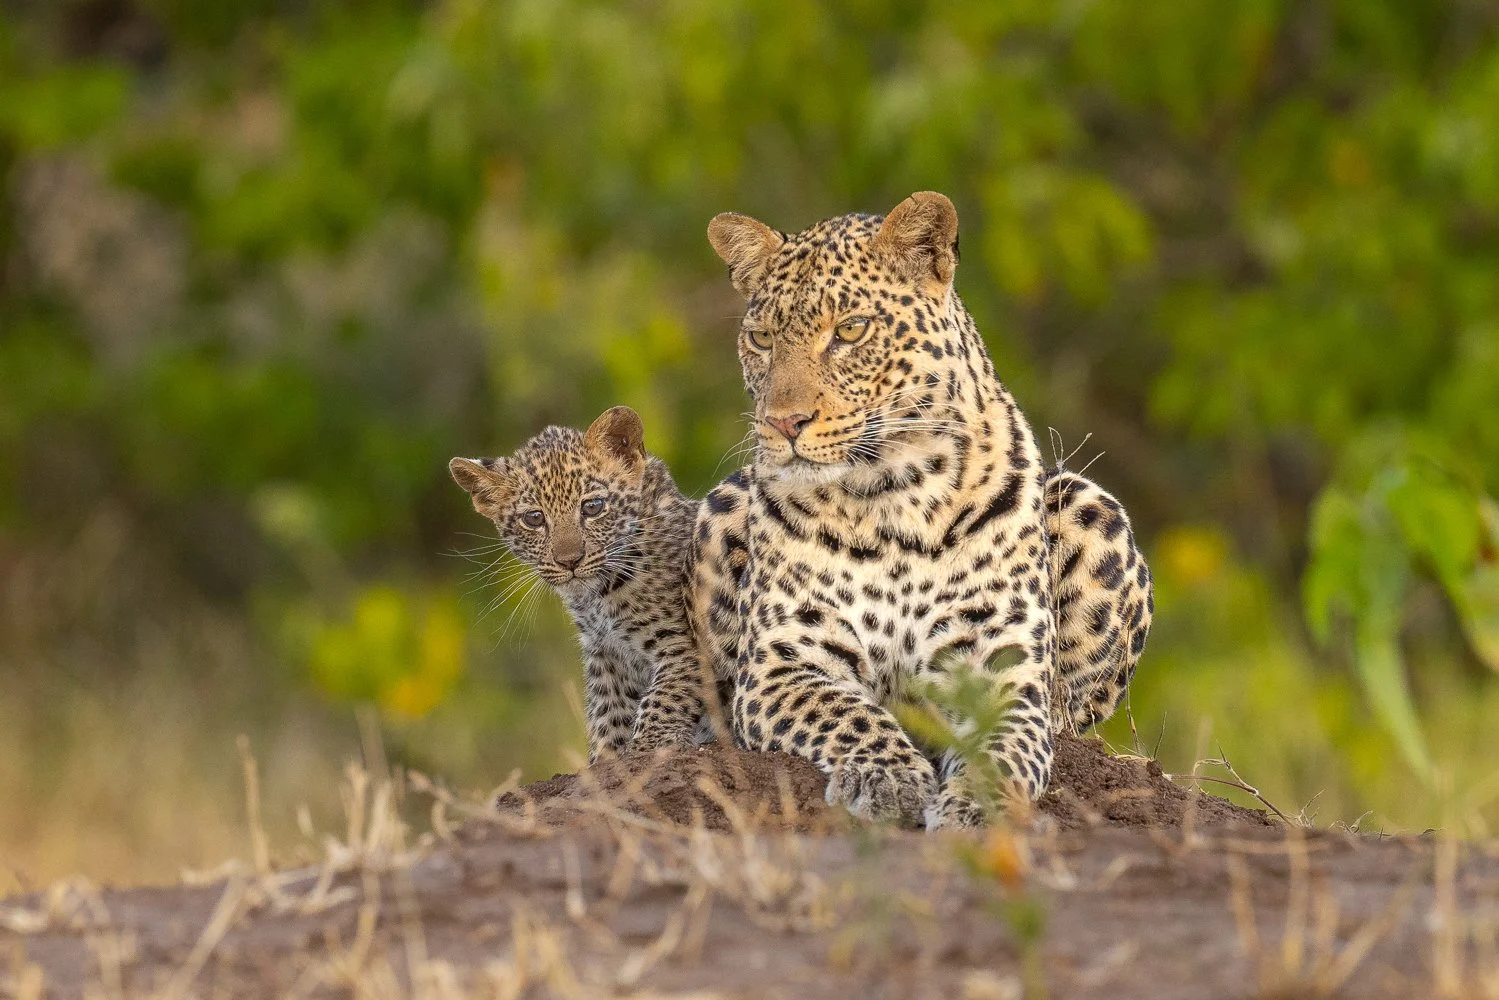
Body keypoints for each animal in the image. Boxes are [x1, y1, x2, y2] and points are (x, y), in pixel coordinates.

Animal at [448, 405, 727, 761]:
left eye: (592, 507)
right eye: (534, 518)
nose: (570, 561)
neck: (597, 597)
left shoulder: (685, 642)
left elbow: (666, 696)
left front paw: (646, 752)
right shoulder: (605, 653)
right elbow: (607, 715)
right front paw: (604, 763)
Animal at [638, 191, 1153, 829]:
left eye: (851, 330)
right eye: (760, 339)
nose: (782, 423)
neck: (891, 497)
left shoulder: (1001, 671)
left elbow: (1003, 747)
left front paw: (975, 809)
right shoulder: (783, 665)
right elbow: (845, 713)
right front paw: (887, 780)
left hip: (1091, 505)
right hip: (719, 510)